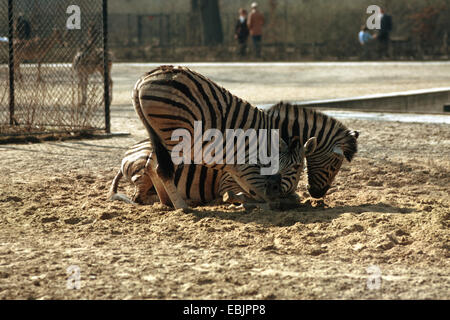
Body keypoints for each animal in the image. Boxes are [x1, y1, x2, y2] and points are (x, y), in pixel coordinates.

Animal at [107, 137, 318, 208]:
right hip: (144, 167)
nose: (273, 187)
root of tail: (130, 148)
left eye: (297, 166)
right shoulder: (227, 182)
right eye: (273, 162)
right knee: (139, 198)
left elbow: (295, 197)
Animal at [134, 66, 310, 209]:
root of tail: (143, 79)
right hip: (175, 134)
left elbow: (253, 190)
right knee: (161, 169)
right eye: (297, 167)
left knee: (151, 167)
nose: (281, 192)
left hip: (158, 136)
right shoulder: (248, 166)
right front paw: (274, 202)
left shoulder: (238, 168)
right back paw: (182, 207)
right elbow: (261, 192)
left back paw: (167, 203)